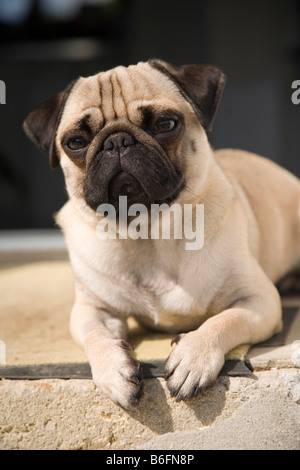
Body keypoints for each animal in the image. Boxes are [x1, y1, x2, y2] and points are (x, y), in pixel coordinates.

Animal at [24, 61, 300, 408]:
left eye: (165, 124)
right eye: (75, 142)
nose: (117, 141)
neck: (147, 234)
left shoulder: (259, 301)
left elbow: (223, 320)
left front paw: (193, 356)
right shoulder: (92, 309)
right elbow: (95, 336)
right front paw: (113, 370)